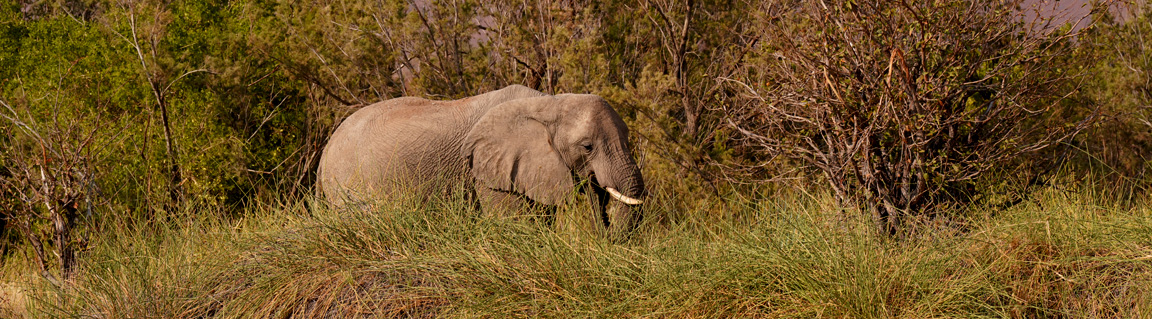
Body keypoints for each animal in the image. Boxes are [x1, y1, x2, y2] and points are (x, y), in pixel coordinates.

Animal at [315, 84, 649, 236]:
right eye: (587, 146)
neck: (548, 103)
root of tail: (325, 152)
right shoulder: (486, 172)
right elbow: (517, 225)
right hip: (348, 186)